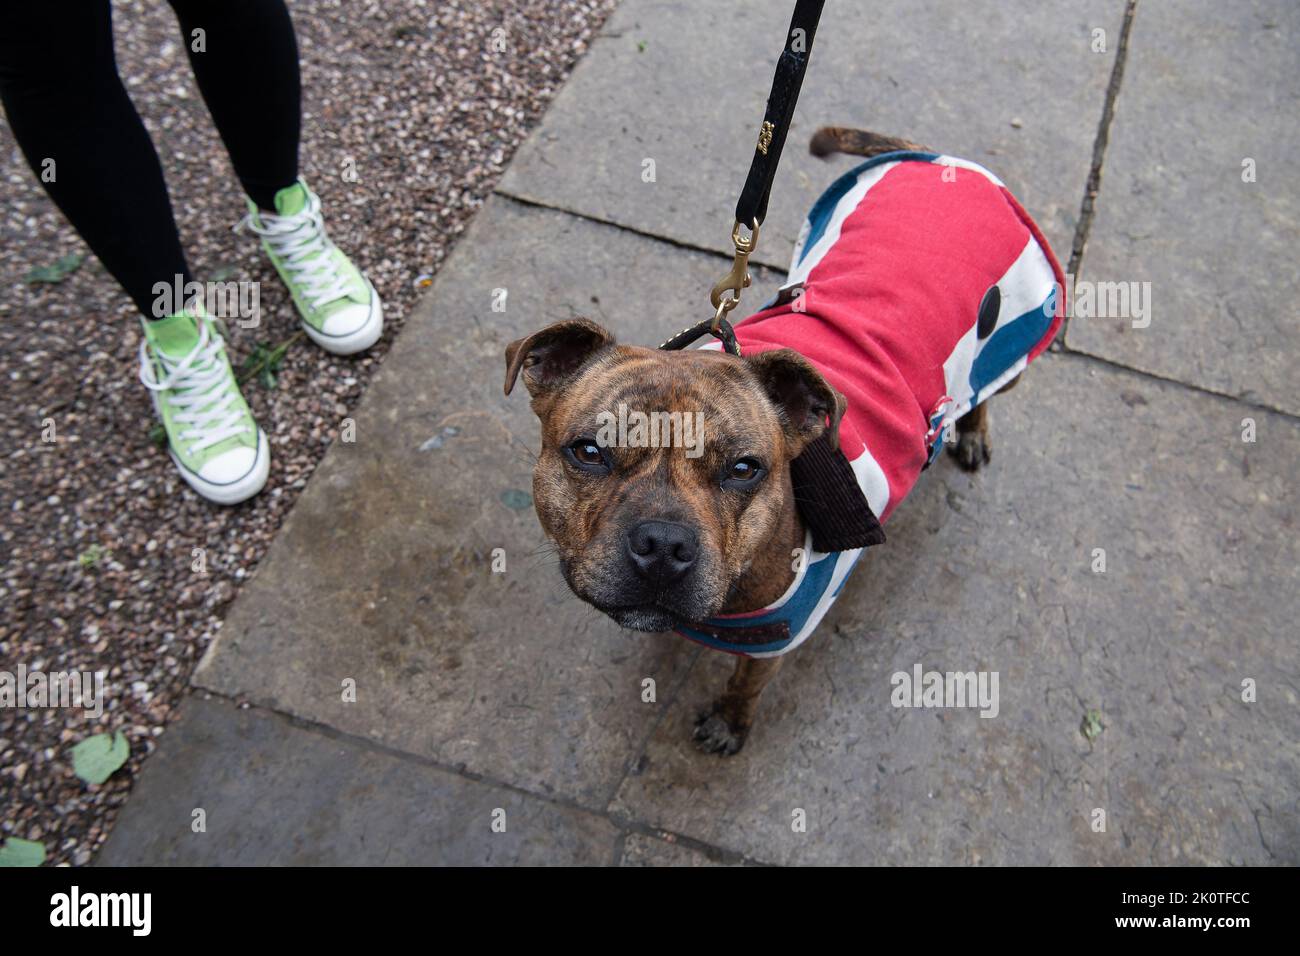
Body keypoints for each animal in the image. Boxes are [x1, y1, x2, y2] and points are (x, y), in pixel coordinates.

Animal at [501, 127, 1060, 754]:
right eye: (589, 453)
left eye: (744, 469)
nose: (663, 546)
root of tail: (945, 160)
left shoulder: (774, 640)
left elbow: (746, 684)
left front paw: (729, 722)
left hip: (1014, 342)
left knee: (985, 393)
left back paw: (972, 432)